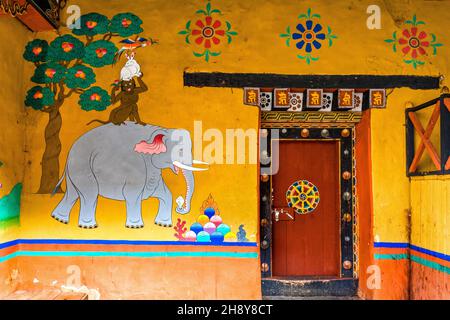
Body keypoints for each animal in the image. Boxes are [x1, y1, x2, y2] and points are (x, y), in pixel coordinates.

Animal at [50, 121, 208, 229]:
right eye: (180, 150)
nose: (179, 207)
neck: (159, 129)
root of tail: (69, 152)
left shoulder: (152, 169)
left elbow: (165, 193)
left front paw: (163, 225)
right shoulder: (135, 165)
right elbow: (133, 194)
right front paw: (136, 227)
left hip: (74, 171)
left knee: (72, 194)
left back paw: (59, 219)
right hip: (82, 167)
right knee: (90, 194)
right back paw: (88, 226)